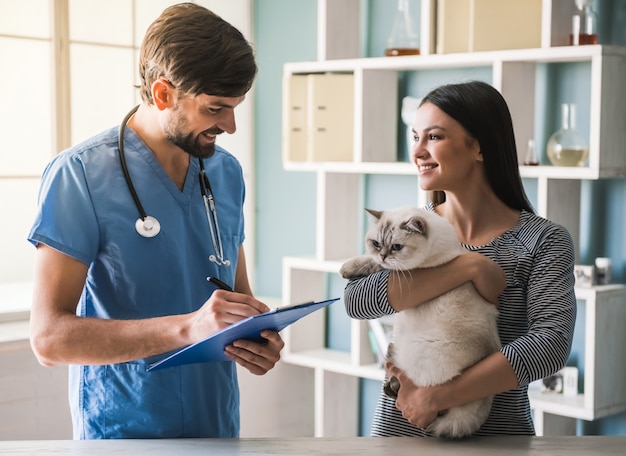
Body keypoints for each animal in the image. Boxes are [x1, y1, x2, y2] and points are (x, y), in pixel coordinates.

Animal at [338, 207, 500, 438]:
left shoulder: (406, 271)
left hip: (419, 354)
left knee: (428, 396)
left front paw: (347, 268)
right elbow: (372, 260)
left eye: (396, 247)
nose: (384, 254)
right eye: (376, 243)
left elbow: (377, 265)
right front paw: (352, 267)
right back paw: (391, 384)